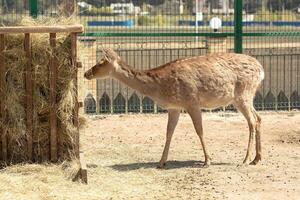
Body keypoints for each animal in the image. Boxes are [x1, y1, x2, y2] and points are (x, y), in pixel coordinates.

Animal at [83, 48, 264, 169]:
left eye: (101, 62)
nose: (86, 73)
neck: (159, 87)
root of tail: (261, 70)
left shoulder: (191, 101)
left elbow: (199, 130)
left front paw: (207, 161)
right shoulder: (174, 107)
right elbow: (169, 132)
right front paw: (161, 162)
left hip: (243, 93)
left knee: (252, 121)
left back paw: (245, 159)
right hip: (247, 96)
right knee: (259, 118)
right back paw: (257, 158)